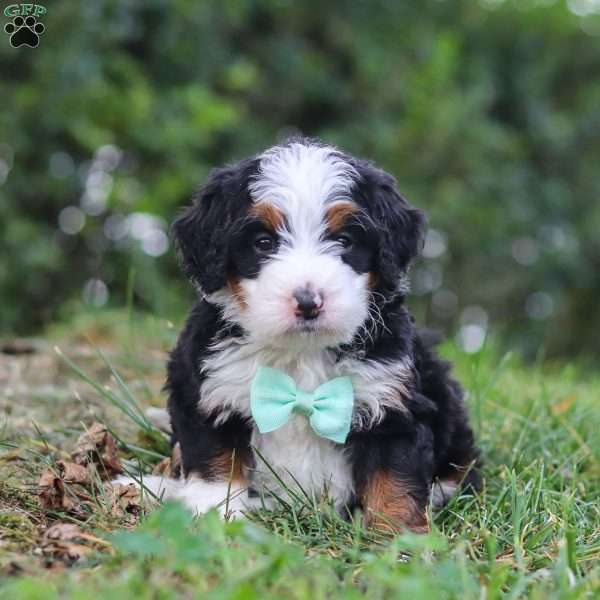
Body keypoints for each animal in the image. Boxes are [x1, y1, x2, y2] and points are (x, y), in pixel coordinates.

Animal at [129, 138, 480, 532]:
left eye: (345, 240)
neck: (301, 352)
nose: (309, 302)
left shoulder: (392, 401)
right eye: (263, 242)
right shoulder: (207, 388)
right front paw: (213, 514)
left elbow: (394, 479)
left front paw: (397, 535)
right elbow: (215, 461)